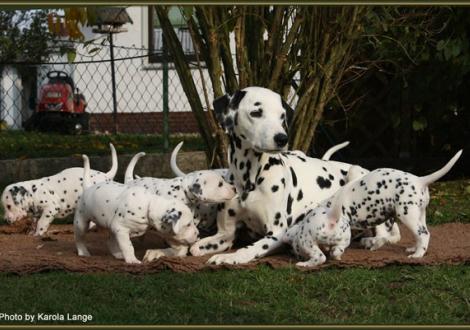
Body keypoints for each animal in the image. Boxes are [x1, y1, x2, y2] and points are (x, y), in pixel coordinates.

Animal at [189, 86, 398, 264]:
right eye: (256, 112)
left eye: (281, 116)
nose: (282, 138)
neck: (249, 178)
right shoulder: (225, 235)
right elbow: (196, 247)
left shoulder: (276, 233)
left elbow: (249, 249)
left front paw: (229, 258)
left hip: (359, 178)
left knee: (388, 235)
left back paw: (374, 241)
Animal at [282, 151, 462, 266]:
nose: (294, 255)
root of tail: (419, 180)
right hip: (419, 215)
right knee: (420, 234)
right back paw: (414, 248)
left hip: (407, 214)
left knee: (424, 234)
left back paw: (417, 255)